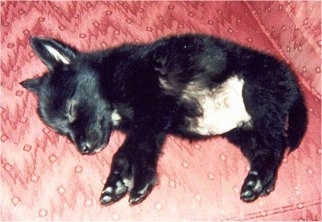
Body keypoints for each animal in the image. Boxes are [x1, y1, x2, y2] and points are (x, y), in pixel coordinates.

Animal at [20, 33, 306, 206]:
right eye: (61, 131)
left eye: (71, 109)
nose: (84, 150)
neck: (110, 78)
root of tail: (293, 82)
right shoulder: (151, 125)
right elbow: (134, 152)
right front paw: (119, 183)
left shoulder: (152, 113)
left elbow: (127, 151)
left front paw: (136, 183)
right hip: (242, 131)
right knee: (265, 150)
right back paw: (260, 182)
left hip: (257, 96)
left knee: (277, 143)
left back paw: (261, 179)